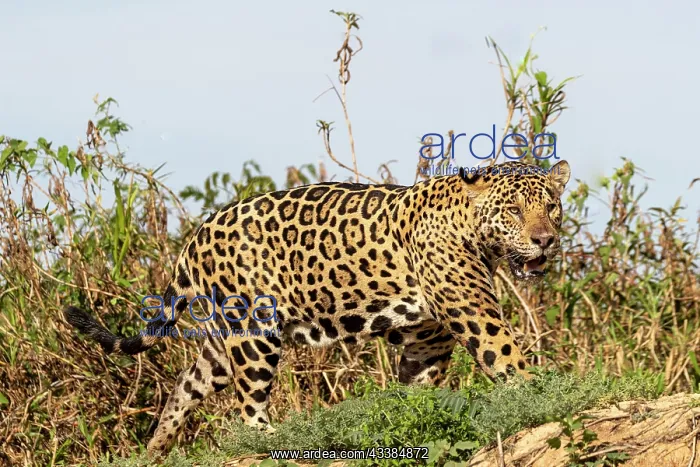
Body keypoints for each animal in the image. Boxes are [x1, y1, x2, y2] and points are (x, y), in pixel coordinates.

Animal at [64, 159, 570, 455]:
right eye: (513, 211)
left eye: (551, 207)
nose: (545, 240)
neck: (471, 228)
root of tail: (196, 235)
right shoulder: (476, 316)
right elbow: (510, 360)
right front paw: (546, 398)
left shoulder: (429, 340)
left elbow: (418, 389)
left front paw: (415, 419)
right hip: (252, 331)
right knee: (249, 410)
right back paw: (278, 442)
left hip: (220, 346)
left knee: (187, 384)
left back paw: (156, 450)